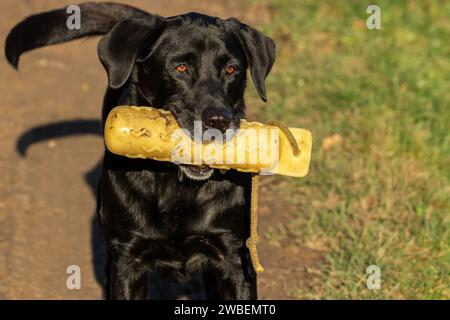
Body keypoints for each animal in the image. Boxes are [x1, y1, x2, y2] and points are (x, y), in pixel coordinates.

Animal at [5, 1, 276, 300]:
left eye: (231, 70)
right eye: (181, 68)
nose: (219, 121)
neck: (176, 185)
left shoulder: (234, 258)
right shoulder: (127, 260)